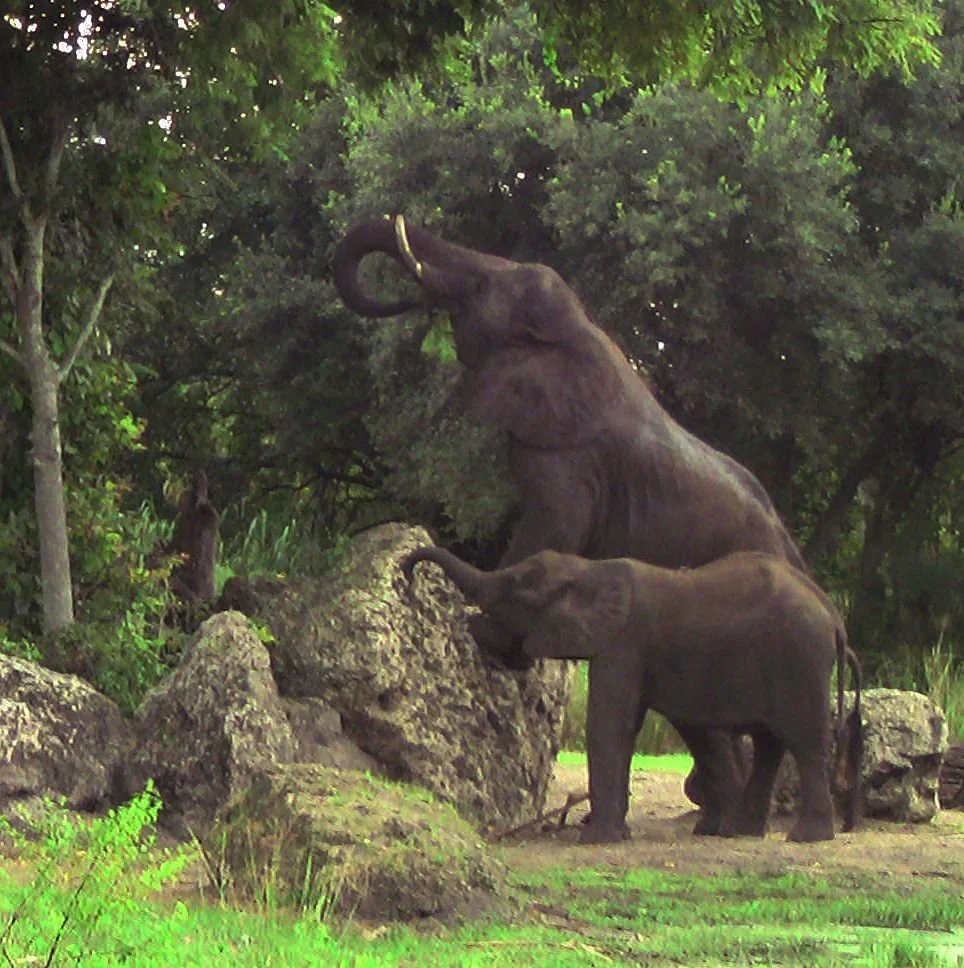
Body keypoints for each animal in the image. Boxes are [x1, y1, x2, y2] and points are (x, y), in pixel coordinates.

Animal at [402, 545, 863, 844]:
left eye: (515, 588)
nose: (407, 573)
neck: (590, 571)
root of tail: (832, 613)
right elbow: (653, 726)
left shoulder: (625, 641)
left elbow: (610, 723)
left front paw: (596, 839)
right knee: (770, 744)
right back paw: (741, 833)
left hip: (800, 657)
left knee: (805, 742)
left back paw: (806, 838)